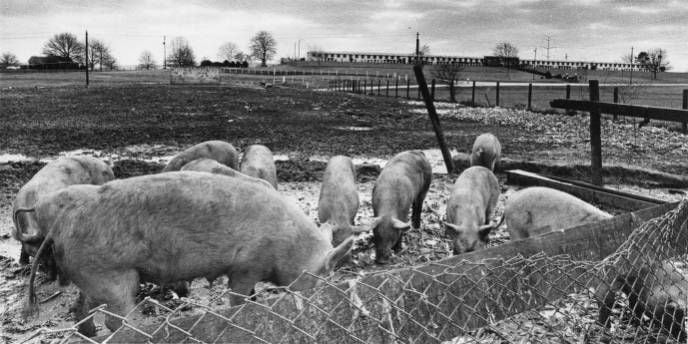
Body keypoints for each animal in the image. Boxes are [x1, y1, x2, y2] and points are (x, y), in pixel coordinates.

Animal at [23, 172, 352, 336]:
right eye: (323, 275)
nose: (322, 302)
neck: (288, 244)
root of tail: (60, 224)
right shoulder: (246, 265)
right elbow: (239, 296)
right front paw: (242, 312)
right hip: (113, 277)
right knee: (116, 320)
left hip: (91, 276)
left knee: (80, 308)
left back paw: (89, 335)